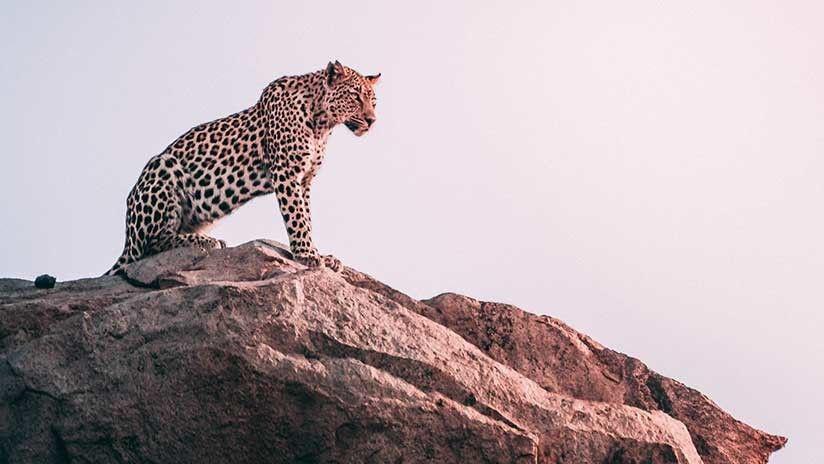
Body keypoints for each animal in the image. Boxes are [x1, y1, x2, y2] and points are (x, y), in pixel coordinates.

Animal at [105, 61, 380, 275]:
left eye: (374, 101)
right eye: (355, 96)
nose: (372, 120)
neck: (322, 124)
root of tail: (127, 238)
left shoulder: (305, 180)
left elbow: (307, 217)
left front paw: (319, 254)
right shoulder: (287, 173)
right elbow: (297, 218)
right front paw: (307, 255)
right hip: (163, 168)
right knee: (151, 245)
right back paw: (207, 241)